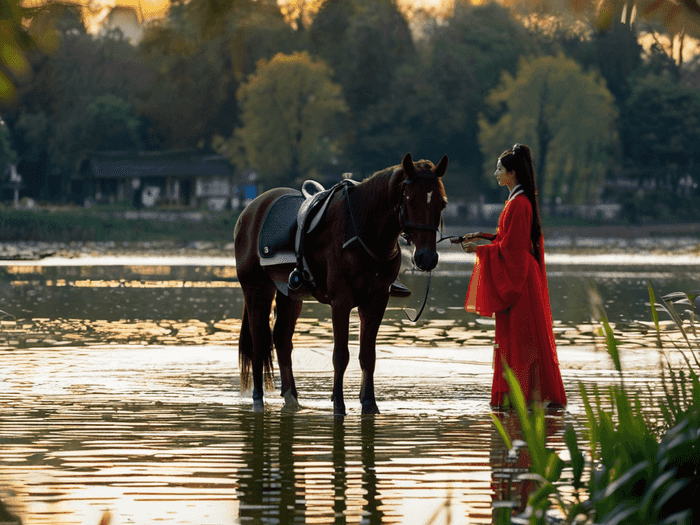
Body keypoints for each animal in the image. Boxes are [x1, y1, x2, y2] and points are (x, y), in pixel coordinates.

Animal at [232, 152, 446, 414]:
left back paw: (292, 398)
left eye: (441, 203)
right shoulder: (341, 301)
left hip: (289, 294)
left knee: (282, 339)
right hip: (257, 290)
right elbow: (341, 355)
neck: (363, 229)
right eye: (411, 200)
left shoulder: (376, 300)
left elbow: (368, 355)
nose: (427, 257)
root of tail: (250, 210)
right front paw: (339, 405)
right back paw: (258, 400)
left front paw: (369, 403)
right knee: (259, 343)